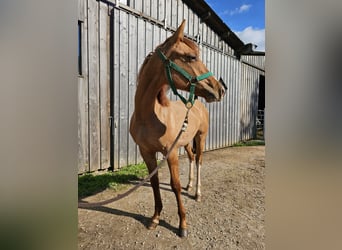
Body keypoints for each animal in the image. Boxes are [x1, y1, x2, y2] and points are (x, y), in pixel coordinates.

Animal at [128, 20, 224, 237]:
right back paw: (190, 185)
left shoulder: (170, 153)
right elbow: (154, 183)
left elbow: (175, 186)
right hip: (187, 142)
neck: (149, 116)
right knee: (191, 158)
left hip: (201, 138)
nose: (220, 89)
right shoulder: (146, 152)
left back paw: (197, 193)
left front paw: (183, 225)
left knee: (199, 161)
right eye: (191, 57)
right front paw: (155, 218)